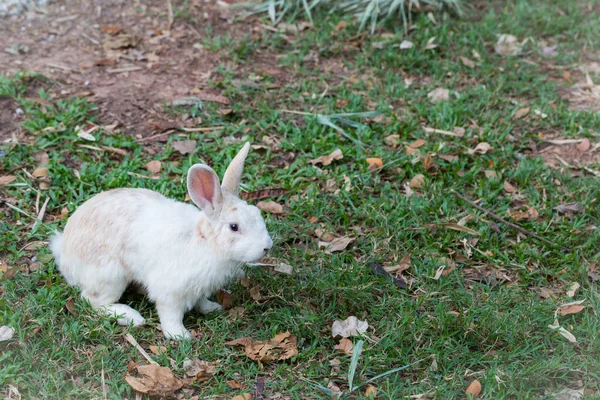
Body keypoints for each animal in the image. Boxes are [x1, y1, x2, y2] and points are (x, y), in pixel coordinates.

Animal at [50, 142, 274, 340]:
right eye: (234, 227)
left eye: (257, 213)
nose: (267, 247)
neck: (205, 242)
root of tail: (65, 254)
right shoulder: (169, 292)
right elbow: (170, 315)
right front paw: (180, 336)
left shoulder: (199, 289)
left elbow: (201, 301)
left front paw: (212, 308)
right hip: (111, 275)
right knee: (93, 302)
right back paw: (132, 317)